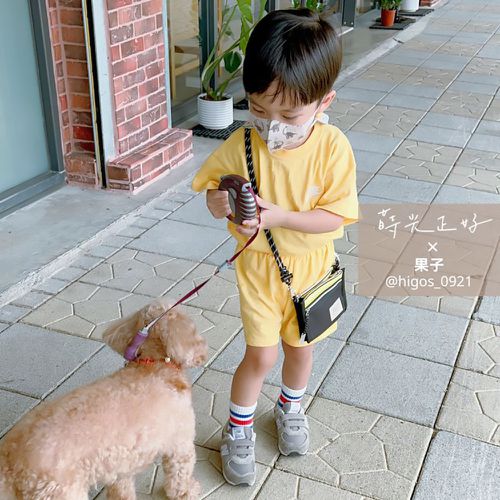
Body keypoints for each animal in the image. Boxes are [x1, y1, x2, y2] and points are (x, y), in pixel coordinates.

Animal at [0, 299, 207, 500]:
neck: (153, 365)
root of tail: (9, 459)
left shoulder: (121, 465)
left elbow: (121, 490)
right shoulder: (180, 445)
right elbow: (179, 477)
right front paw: (187, 492)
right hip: (61, 492)